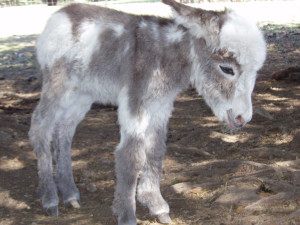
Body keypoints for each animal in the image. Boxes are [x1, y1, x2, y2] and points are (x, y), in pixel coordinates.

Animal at [29, 0, 266, 224]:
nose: (243, 118)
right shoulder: (135, 102)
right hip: (59, 84)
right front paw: (126, 214)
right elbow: (130, 155)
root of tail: (62, 13)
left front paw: (155, 204)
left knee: (63, 132)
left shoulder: (161, 105)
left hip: (82, 94)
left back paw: (70, 194)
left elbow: (156, 149)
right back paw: (50, 199)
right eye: (227, 69)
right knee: (40, 126)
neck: (165, 56)